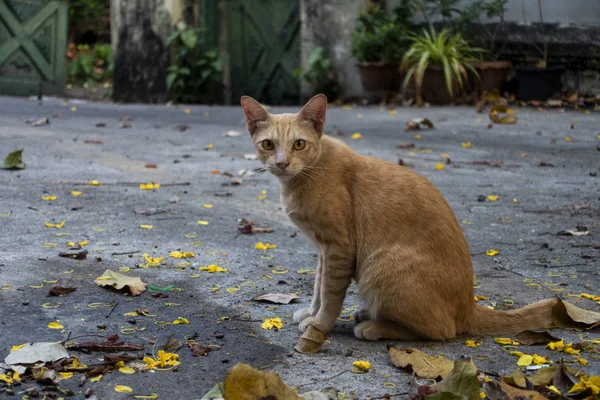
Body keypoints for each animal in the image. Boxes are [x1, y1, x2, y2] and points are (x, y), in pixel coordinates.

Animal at [240, 94, 552, 340]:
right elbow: (319, 286)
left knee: (442, 331)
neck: (306, 175)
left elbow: (330, 293)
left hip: (379, 264)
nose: (281, 163)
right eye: (268, 144)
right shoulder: (323, 251)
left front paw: (320, 325)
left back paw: (374, 327)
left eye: (299, 144)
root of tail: (469, 305)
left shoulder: (339, 248)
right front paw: (311, 312)